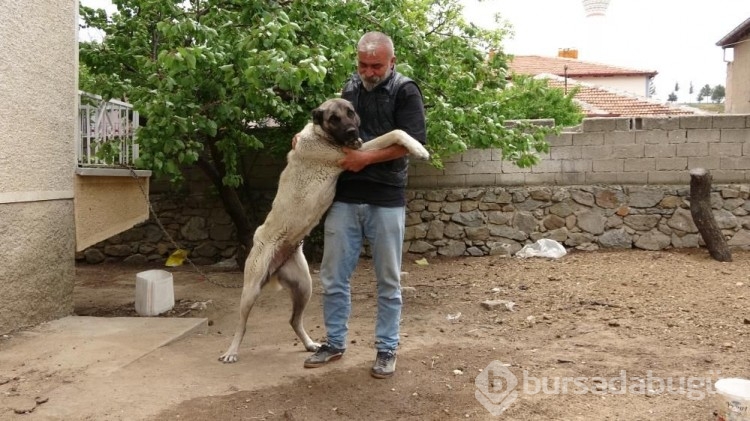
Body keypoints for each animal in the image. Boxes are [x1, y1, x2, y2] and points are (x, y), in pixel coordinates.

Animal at [217, 97, 428, 360]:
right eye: (333, 118)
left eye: (350, 112)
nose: (352, 131)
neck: (321, 135)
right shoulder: (352, 155)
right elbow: (395, 132)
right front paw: (419, 149)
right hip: (251, 289)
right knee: (242, 325)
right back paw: (231, 351)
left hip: (304, 287)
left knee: (293, 320)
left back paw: (311, 345)